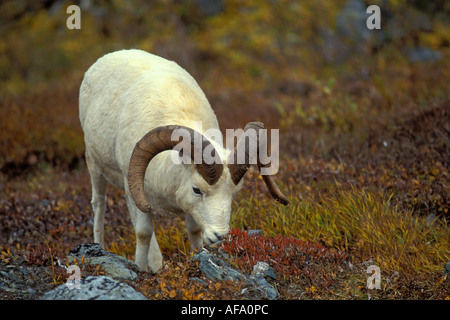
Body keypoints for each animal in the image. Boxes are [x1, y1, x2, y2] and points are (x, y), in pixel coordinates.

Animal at [79, 49, 288, 272]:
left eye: (234, 192)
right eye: (197, 190)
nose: (219, 235)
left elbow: (193, 230)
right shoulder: (134, 187)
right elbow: (143, 232)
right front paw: (141, 270)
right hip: (95, 166)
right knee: (99, 204)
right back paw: (100, 245)